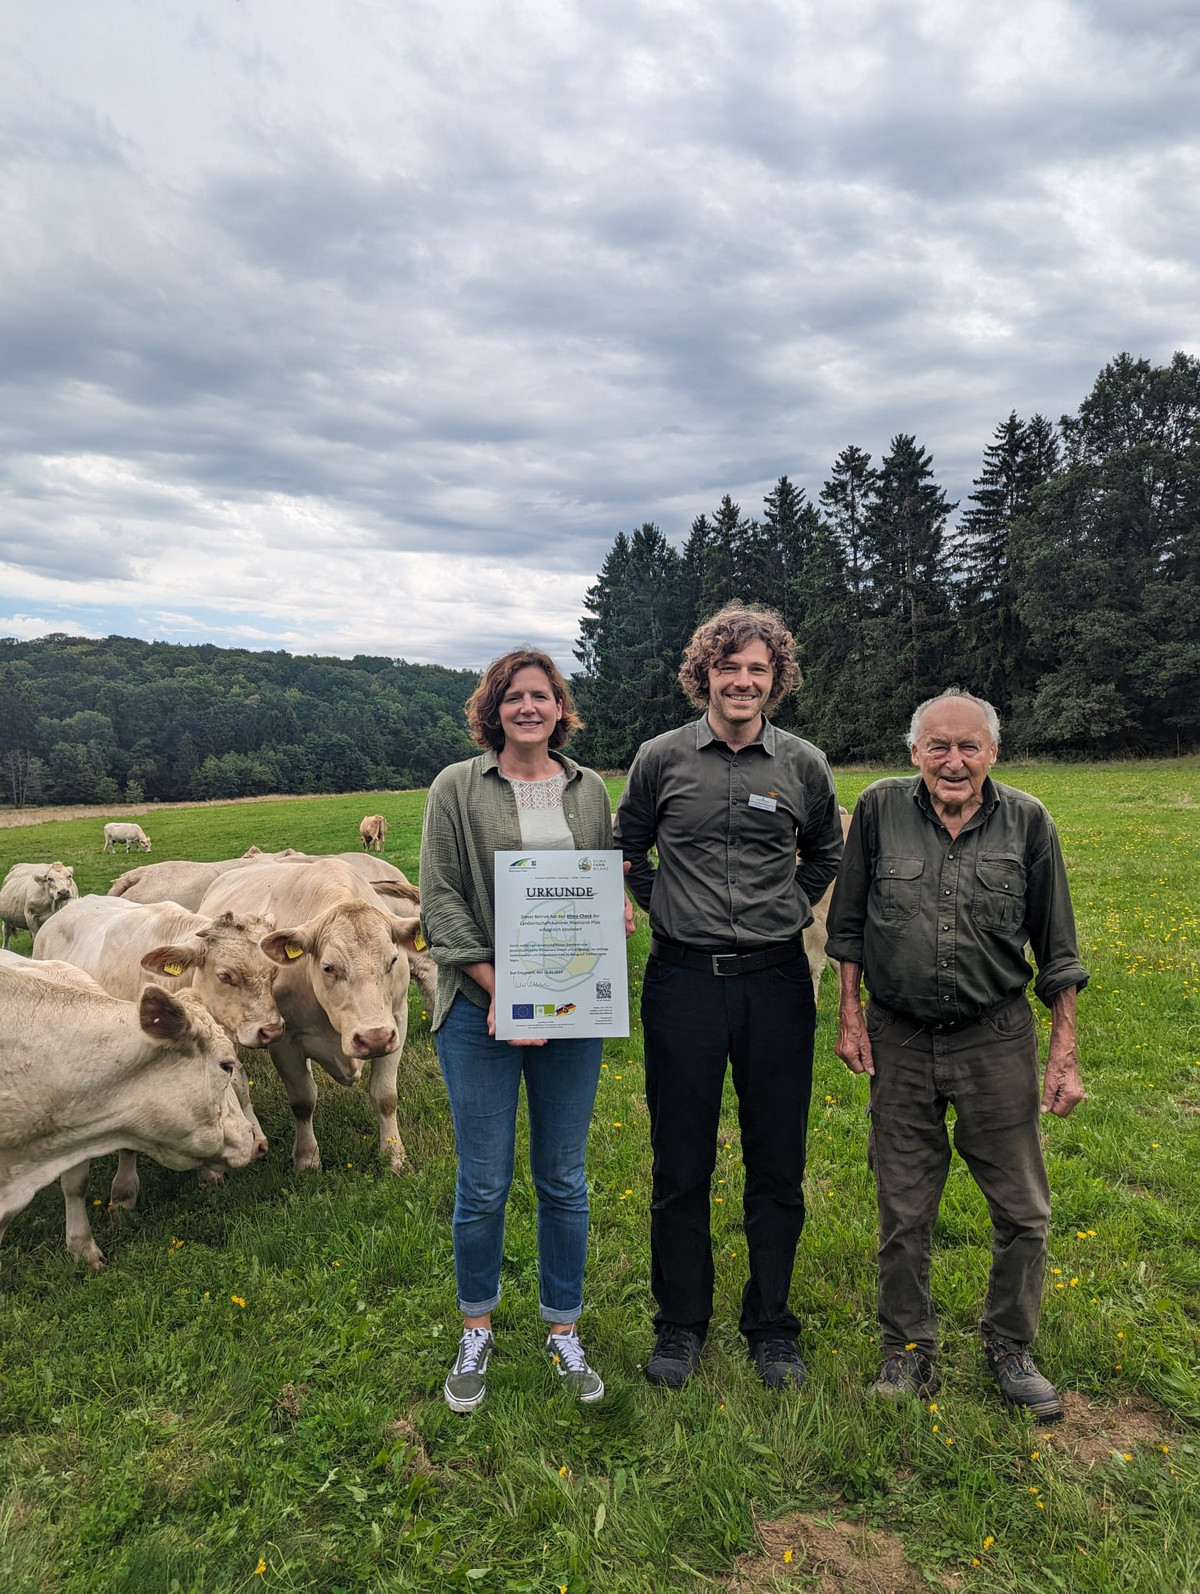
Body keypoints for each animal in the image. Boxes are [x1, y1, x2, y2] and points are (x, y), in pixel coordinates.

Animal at [196, 867, 420, 1179]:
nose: (373, 1038)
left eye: (393, 960)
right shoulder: (284, 1041)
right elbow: (303, 1101)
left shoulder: (397, 1022)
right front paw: (307, 1157)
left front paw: (394, 1155)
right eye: (329, 967)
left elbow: (385, 1096)